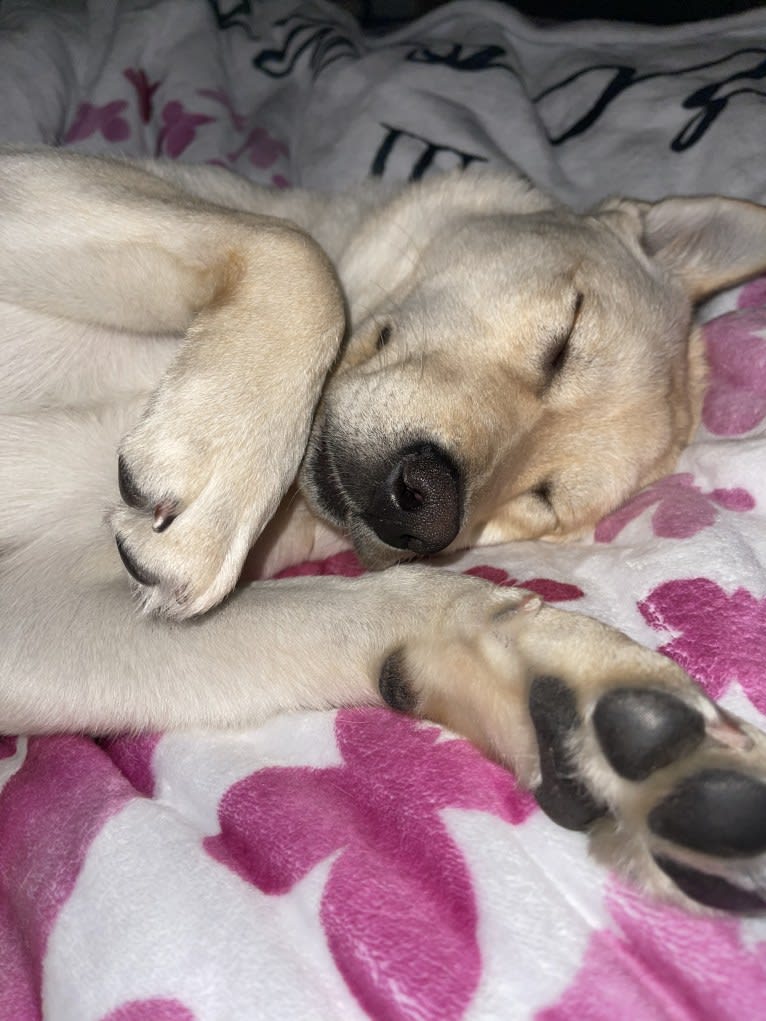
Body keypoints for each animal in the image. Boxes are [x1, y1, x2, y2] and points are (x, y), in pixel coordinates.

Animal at [1, 148, 766, 914]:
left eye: (539, 501)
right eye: (564, 340)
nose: (425, 508)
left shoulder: (40, 619)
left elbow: (392, 607)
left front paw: (567, 694)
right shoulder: (44, 179)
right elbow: (296, 252)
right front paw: (220, 449)